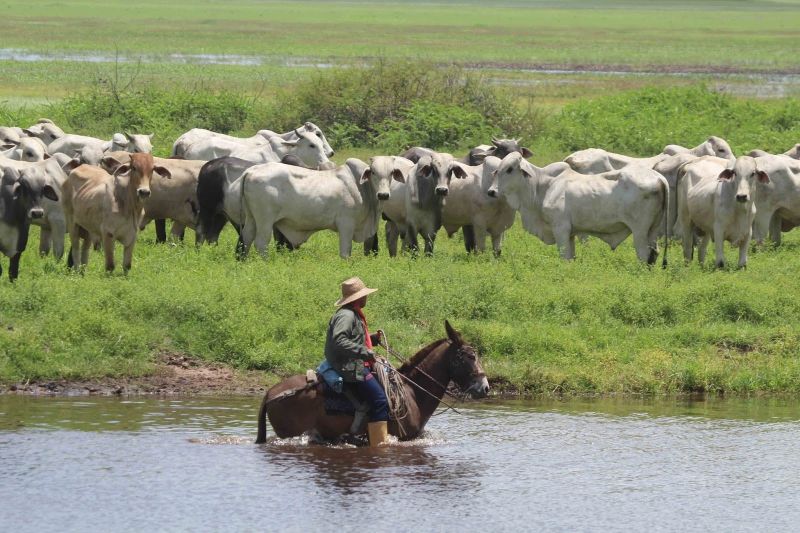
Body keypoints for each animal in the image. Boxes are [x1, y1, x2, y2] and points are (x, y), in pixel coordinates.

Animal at [241, 158, 396, 258]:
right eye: (373, 172)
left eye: (391, 173)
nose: (383, 195)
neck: (361, 187)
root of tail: (251, 170)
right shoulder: (346, 223)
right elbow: (345, 251)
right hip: (265, 220)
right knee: (261, 243)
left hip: (251, 218)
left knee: (246, 238)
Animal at [488, 153, 668, 262]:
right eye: (496, 170)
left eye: (509, 169)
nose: (491, 191)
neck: (542, 186)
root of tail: (659, 178)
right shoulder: (571, 234)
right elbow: (571, 258)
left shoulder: (560, 229)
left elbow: (564, 257)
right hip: (653, 231)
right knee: (654, 254)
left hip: (640, 232)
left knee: (644, 255)